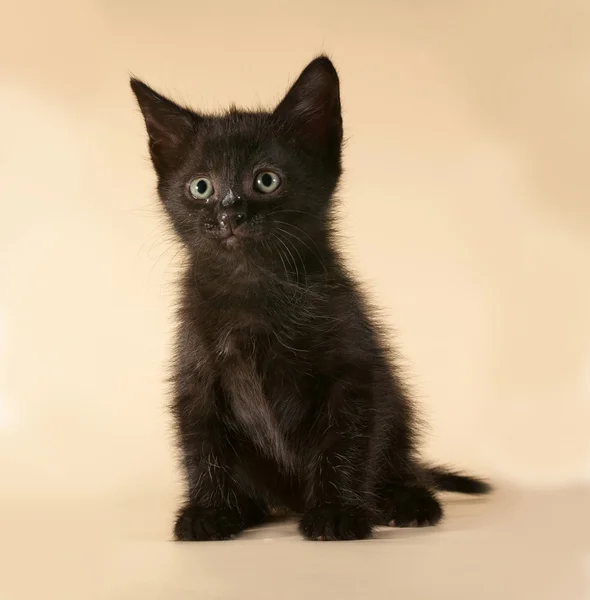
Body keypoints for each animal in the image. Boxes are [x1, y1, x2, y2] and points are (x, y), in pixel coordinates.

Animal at [132, 56, 492, 540]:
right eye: (201, 187)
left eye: (266, 180)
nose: (230, 213)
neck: (254, 286)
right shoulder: (196, 375)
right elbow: (201, 443)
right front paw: (209, 512)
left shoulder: (353, 371)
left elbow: (344, 442)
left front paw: (336, 512)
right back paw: (249, 508)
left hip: (397, 407)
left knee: (397, 461)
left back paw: (406, 499)